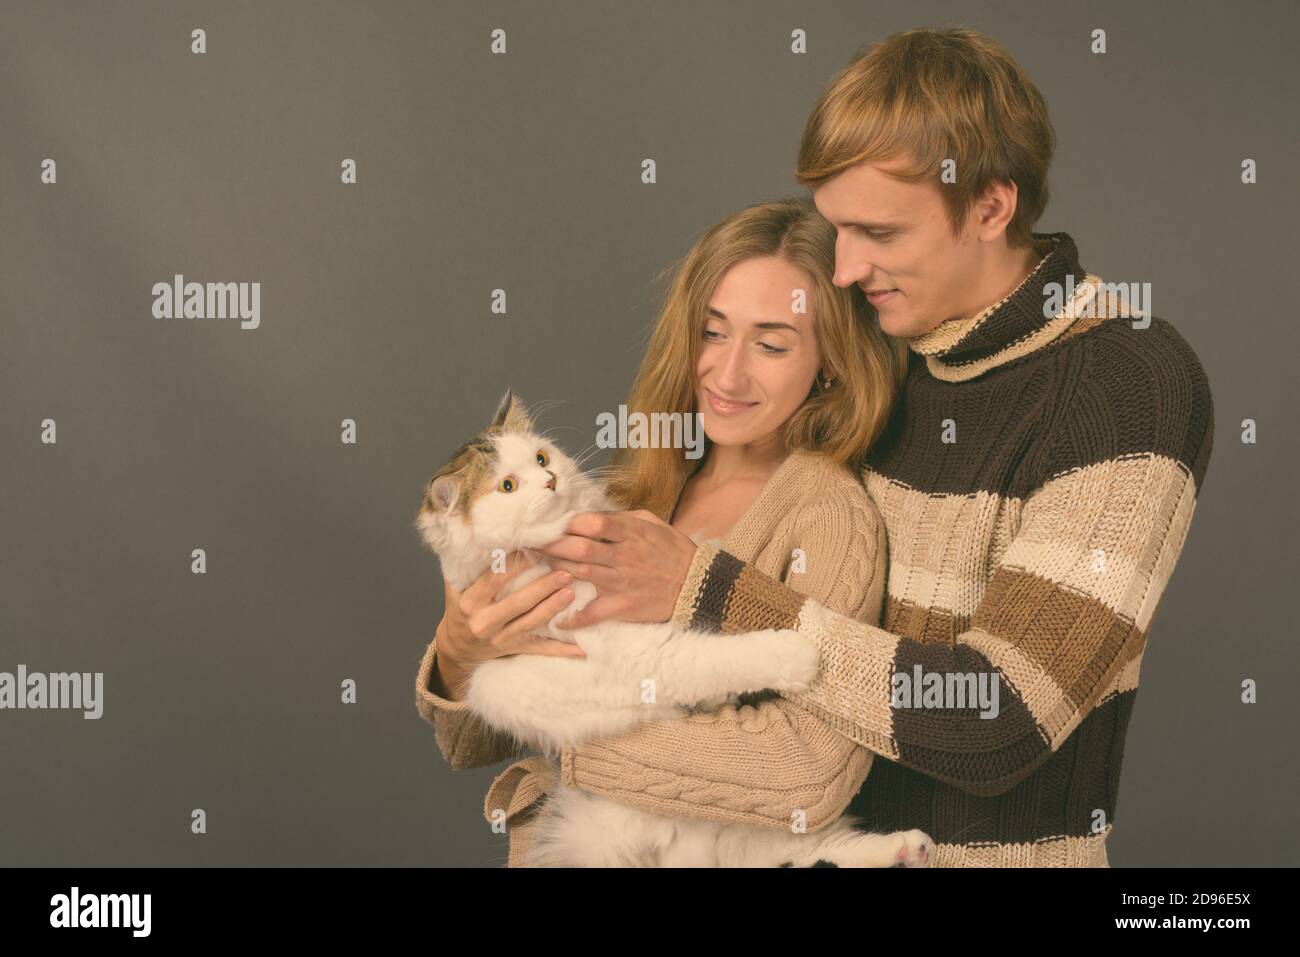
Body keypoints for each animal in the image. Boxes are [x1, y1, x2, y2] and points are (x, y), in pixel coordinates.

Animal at [416, 390, 935, 868]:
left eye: (541, 459)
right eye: (507, 486)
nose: (550, 481)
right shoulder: (644, 655)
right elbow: (720, 656)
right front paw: (795, 652)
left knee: (816, 850)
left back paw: (908, 846)